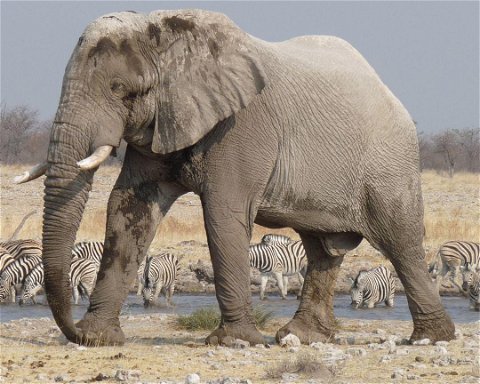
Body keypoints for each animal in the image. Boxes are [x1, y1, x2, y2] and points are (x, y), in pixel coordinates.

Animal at [15, 9, 454, 346]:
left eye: (119, 88)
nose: (72, 330)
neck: (166, 34)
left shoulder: (242, 125)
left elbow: (223, 212)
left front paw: (235, 342)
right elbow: (129, 207)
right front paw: (98, 339)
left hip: (390, 163)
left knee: (400, 242)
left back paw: (431, 338)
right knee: (322, 249)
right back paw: (300, 337)